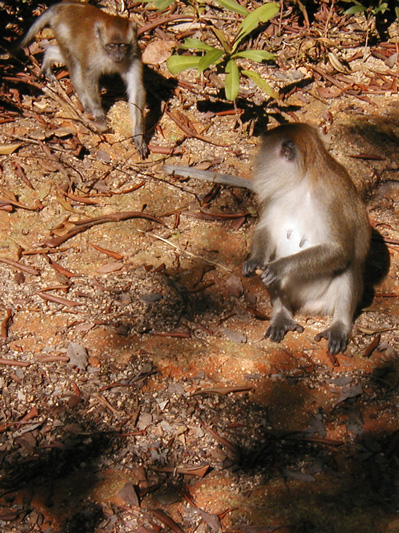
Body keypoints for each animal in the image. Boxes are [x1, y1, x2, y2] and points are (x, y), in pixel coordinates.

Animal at [15, 1, 149, 158]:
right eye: (112, 46)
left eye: (122, 45)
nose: (118, 56)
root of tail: (63, 6)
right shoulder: (92, 56)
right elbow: (88, 77)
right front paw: (97, 111)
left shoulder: (134, 55)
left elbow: (136, 88)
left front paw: (138, 134)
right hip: (63, 33)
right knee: (74, 64)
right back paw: (86, 104)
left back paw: (49, 56)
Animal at [164, 121, 370, 354]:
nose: (259, 160)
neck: (302, 182)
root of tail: (308, 306)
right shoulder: (278, 195)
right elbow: (267, 231)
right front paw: (255, 261)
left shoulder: (329, 199)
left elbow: (339, 250)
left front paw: (280, 267)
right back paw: (282, 315)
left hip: (326, 300)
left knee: (350, 264)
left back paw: (339, 325)